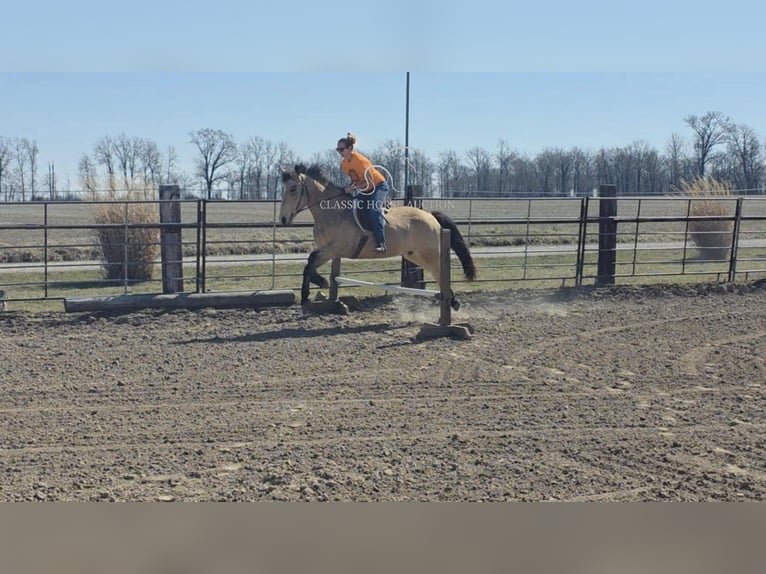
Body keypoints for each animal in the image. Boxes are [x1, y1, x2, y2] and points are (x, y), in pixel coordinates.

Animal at [280, 164, 476, 310]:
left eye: (293, 189)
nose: (282, 219)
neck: (333, 211)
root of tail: (430, 215)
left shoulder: (335, 249)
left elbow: (310, 263)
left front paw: (317, 285)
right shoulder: (326, 249)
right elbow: (310, 263)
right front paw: (313, 289)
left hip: (430, 254)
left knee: (441, 273)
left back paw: (452, 302)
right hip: (414, 255)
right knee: (437, 274)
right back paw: (452, 302)